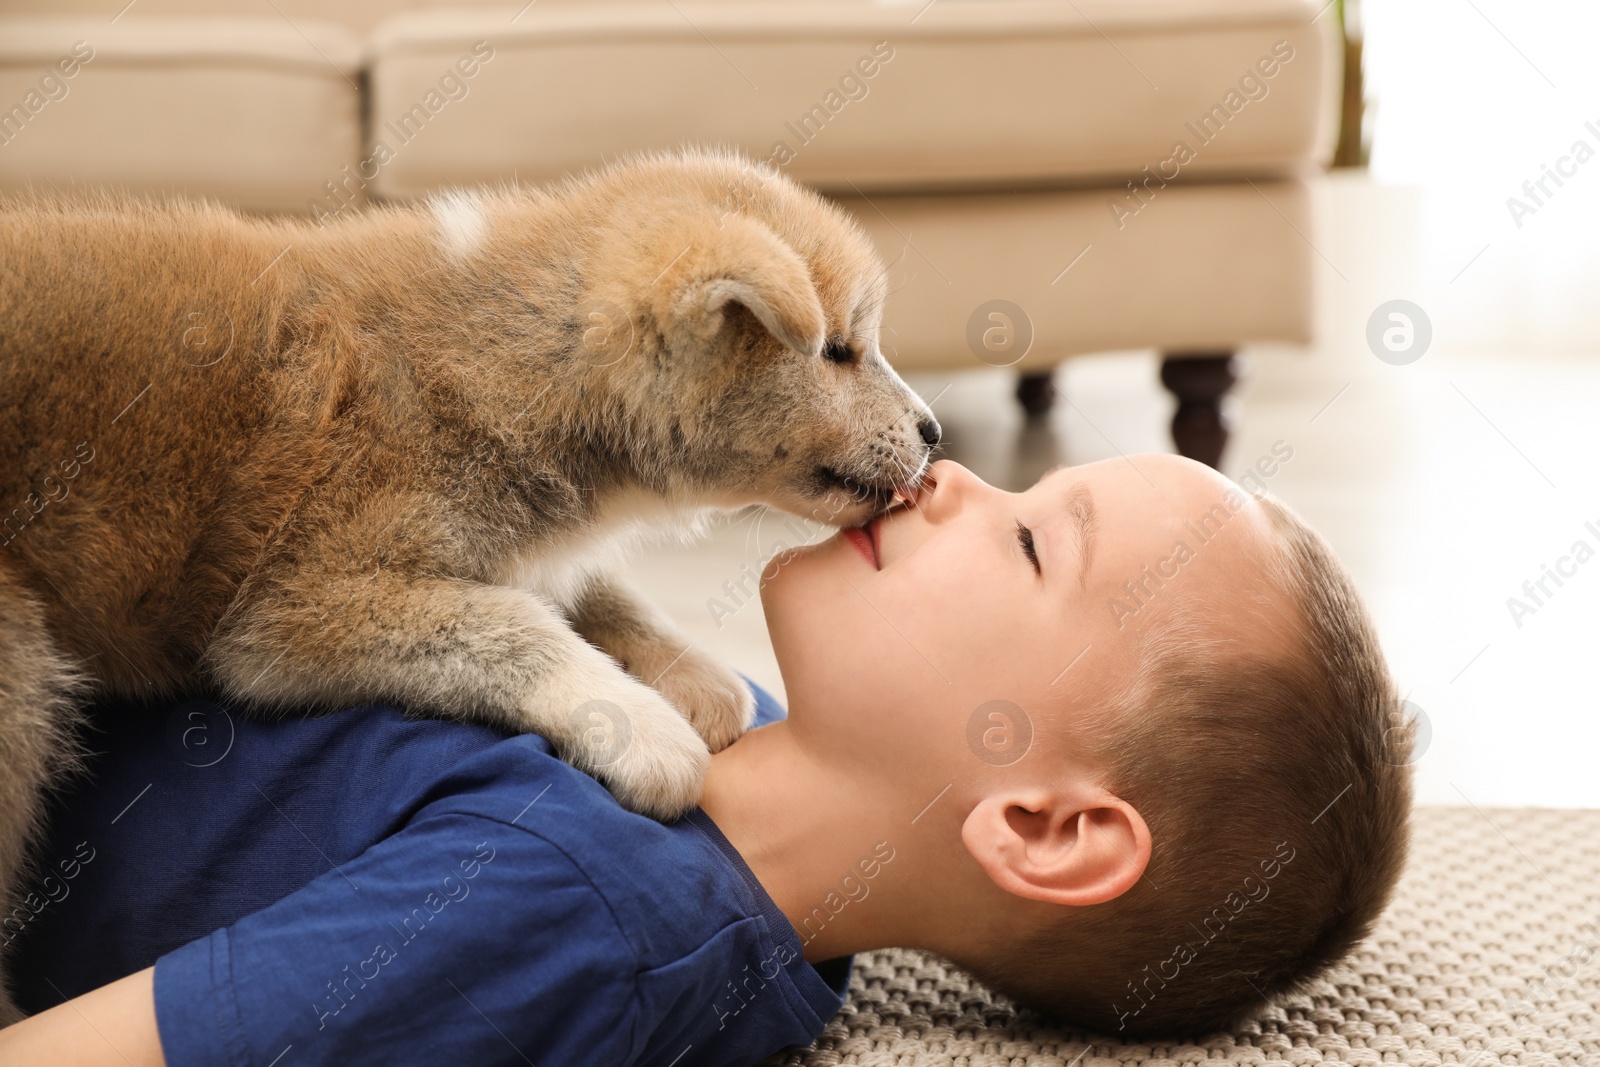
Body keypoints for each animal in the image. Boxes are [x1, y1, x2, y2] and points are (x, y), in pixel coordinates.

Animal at [0, 147, 934, 1011]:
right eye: (841, 350)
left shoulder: (516, 550)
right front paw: (637, 722)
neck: (520, 359)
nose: (931, 430)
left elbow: (584, 589)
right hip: (21, 673)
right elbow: (514, 623)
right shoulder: (295, 607)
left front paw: (694, 673)